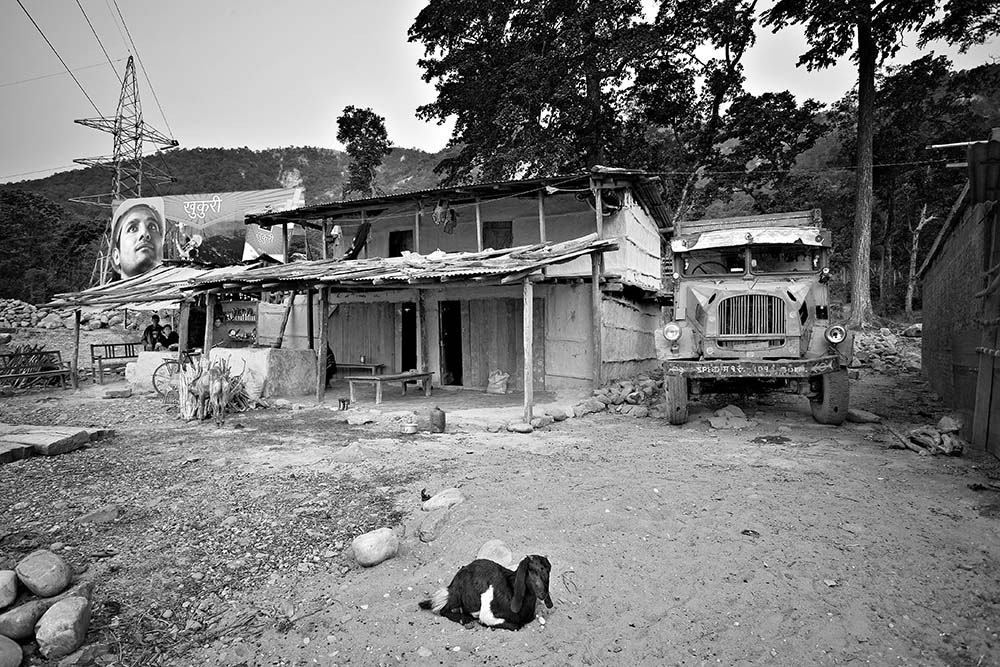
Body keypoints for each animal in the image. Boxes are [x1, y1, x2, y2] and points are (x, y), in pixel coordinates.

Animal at [416, 556, 556, 636]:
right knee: (443, 609)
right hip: (457, 596)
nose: (543, 593)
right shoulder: (487, 614)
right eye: (532, 571)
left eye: (548, 571)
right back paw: (464, 618)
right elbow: (515, 626)